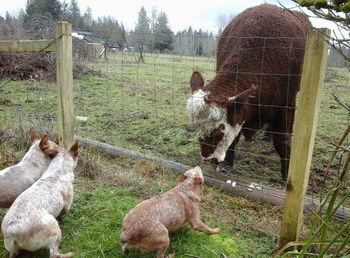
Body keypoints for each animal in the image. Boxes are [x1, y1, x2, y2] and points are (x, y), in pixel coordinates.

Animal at [187, 4, 310, 181]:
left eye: (218, 131)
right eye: (196, 126)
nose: (208, 158)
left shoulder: (287, 103)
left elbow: (282, 141)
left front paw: (287, 175)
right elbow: (235, 136)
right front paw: (226, 164)